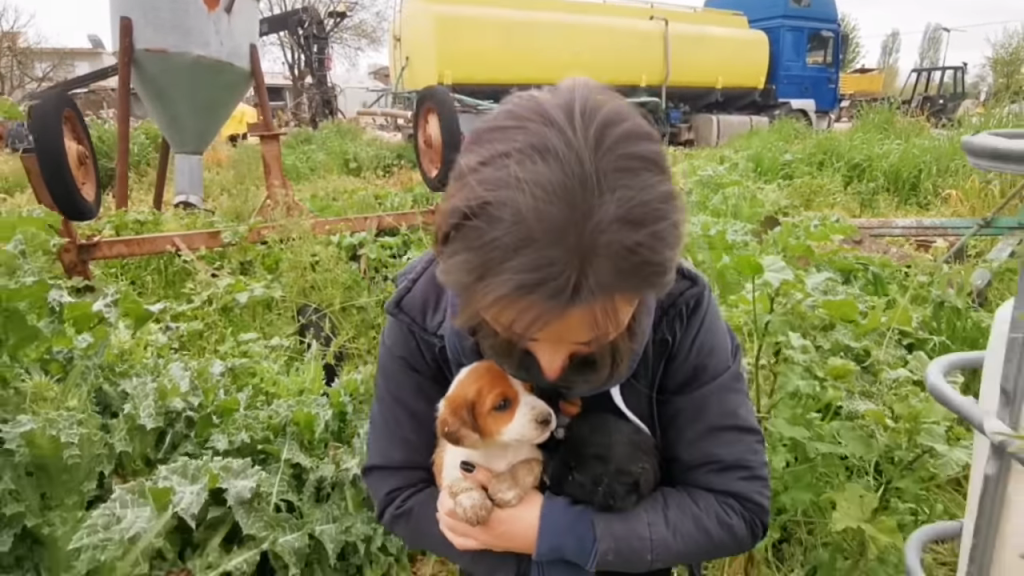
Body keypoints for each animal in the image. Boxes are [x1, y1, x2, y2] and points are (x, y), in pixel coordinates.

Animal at [434, 358, 561, 524]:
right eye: (502, 404)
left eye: (531, 388)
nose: (547, 418)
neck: (499, 448)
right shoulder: (450, 461)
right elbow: (458, 479)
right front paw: (473, 502)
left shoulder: (536, 458)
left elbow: (525, 466)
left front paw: (506, 488)